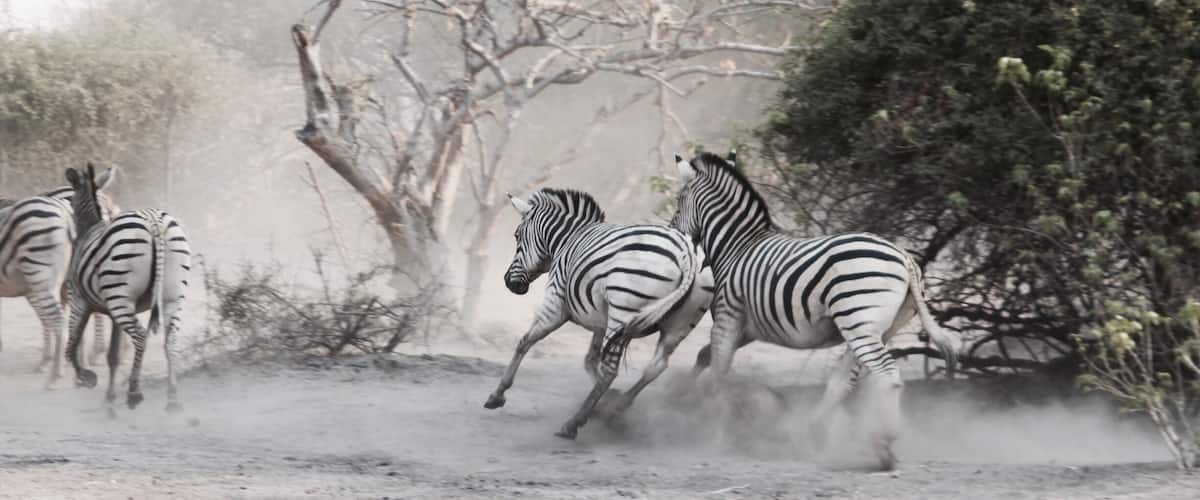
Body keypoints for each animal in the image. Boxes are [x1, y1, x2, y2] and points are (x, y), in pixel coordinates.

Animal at [62, 164, 191, 412]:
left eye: (71, 202)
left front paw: (87, 377)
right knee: (170, 342)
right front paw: (109, 398)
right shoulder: (112, 310)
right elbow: (113, 355)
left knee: (140, 336)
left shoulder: (79, 300)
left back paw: (134, 392)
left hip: (121, 299)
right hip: (170, 297)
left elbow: (71, 346)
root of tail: (154, 222)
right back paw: (172, 399)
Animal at [484, 188, 714, 439]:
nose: (508, 282)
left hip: (624, 310)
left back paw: (574, 423)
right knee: (655, 367)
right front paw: (606, 404)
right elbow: (590, 359)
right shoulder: (601, 320)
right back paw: (618, 407)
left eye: (517, 236)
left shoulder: (555, 306)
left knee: (610, 370)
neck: (566, 241)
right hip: (679, 324)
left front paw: (497, 395)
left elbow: (524, 342)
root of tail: (687, 254)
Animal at [670, 151, 957, 470]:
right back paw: (816, 431)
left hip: (859, 323)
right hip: (871, 329)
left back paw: (883, 445)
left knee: (887, 376)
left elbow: (718, 374)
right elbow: (705, 356)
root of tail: (905, 258)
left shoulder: (728, 315)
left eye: (679, 199)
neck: (737, 246)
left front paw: (717, 430)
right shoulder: (748, 327)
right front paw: (684, 395)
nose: (673, 230)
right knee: (842, 382)